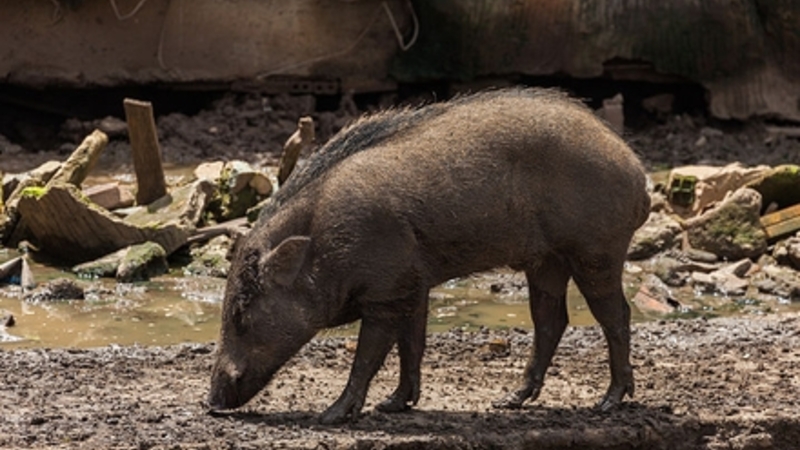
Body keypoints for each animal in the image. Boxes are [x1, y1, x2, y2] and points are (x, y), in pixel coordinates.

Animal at [208, 88, 650, 425]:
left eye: (240, 314)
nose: (211, 403)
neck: (325, 239)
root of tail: (637, 173)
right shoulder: (412, 285)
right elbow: (412, 343)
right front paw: (393, 405)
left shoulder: (386, 292)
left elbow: (369, 355)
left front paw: (331, 416)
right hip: (547, 261)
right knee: (550, 320)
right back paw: (509, 401)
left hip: (597, 251)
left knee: (615, 315)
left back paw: (607, 403)